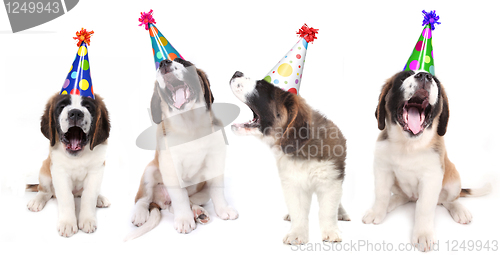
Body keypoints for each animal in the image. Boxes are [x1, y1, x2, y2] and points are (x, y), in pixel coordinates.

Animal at [26, 92, 110, 237]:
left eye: (88, 107)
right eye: (62, 106)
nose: (75, 113)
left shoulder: (96, 170)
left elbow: (89, 195)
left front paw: (87, 220)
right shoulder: (59, 171)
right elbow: (66, 198)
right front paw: (68, 223)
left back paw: (100, 198)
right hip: (44, 171)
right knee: (45, 191)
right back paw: (37, 200)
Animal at [128, 58, 239, 241]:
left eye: (183, 63)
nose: (164, 63)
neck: (189, 124)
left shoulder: (216, 159)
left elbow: (217, 189)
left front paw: (223, 209)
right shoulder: (170, 167)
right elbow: (180, 197)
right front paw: (184, 220)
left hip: (202, 191)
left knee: (181, 202)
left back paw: (198, 212)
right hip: (150, 171)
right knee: (142, 198)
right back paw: (140, 213)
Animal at [229, 71, 350, 245]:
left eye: (262, 86)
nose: (236, 73)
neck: (302, 150)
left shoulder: (330, 181)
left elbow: (327, 210)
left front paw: (330, 232)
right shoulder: (292, 183)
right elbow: (298, 211)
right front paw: (297, 233)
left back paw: (341, 213)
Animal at [364, 69, 492, 251]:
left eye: (435, 82)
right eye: (403, 77)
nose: (424, 75)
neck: (409, 145)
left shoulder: (431, 178)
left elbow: (424, 207)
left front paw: (423, 234)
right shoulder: (382, 169)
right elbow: (381, 194)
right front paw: (377, 211)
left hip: (453, 179)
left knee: (448, 200)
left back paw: (459, 210)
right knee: (404, 197)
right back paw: (392, 202)